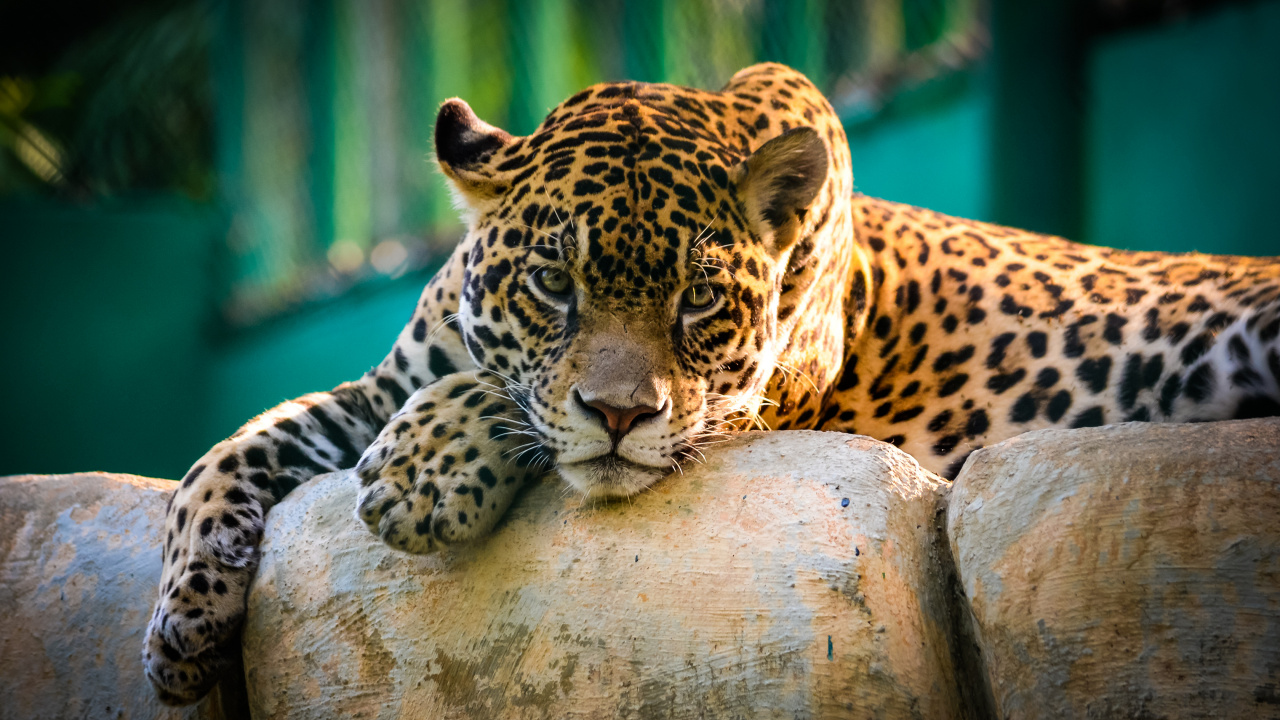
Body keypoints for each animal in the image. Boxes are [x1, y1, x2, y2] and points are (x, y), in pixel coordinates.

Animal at [144, 62, 1280, 704]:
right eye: (551, 283)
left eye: (697, 300)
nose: (619, 413)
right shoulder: (379, 388)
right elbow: (228, 450)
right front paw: (183, 625)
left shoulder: (751, 404)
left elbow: (514, 405)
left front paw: (423, 474)